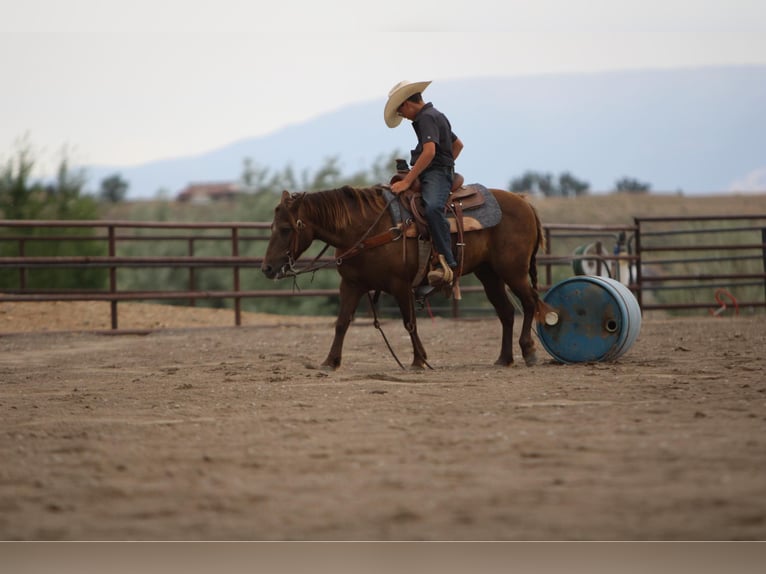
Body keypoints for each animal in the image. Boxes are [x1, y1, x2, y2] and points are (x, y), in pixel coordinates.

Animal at [264, 187, 552, 372]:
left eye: (286, 229)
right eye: (272, 227)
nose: (267, 268)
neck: (366, 230)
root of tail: (525, 203)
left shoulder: (400, 285)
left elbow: (409, 323)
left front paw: (419, 361)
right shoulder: (351, 285)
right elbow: (342, 323)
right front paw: (330, 361)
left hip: (513, 271)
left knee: (529, 303)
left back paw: (529, 351)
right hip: (489, 274)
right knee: (506, 311)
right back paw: (504, 358)